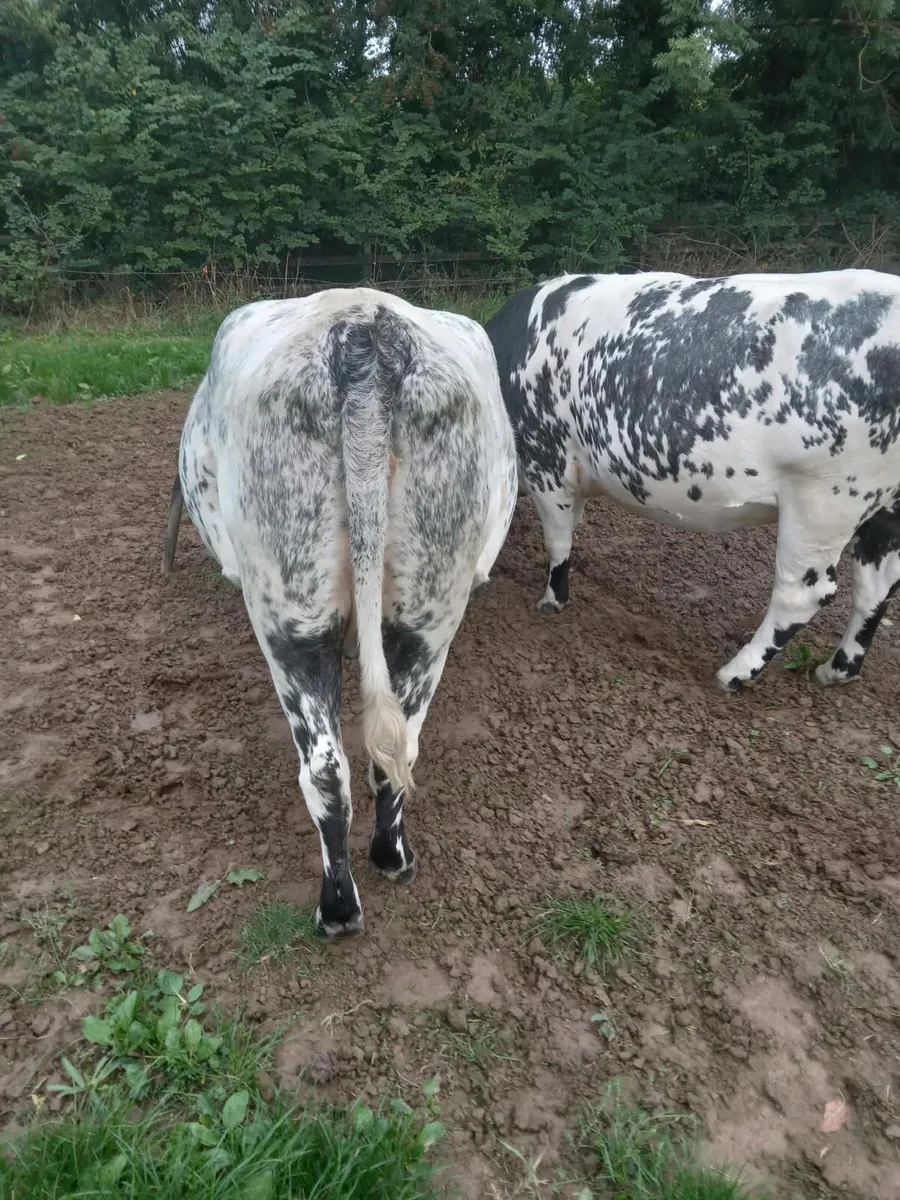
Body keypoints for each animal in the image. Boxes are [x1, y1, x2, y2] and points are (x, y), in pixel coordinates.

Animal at [162, 289, 517, 937]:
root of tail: (366, 333)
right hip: (428, 608)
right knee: (395, 750)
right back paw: (391, 858)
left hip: (289, 612)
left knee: (325, 769)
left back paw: (337, 909)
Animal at [485, 269, 900, 692]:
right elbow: (571, 527)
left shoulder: (546, 461)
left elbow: (558, 539)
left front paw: (552, 600)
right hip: (881, 509)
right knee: (875, 586)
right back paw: (837, 670)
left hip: (823, 500)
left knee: (804, 593)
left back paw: (734, 673)